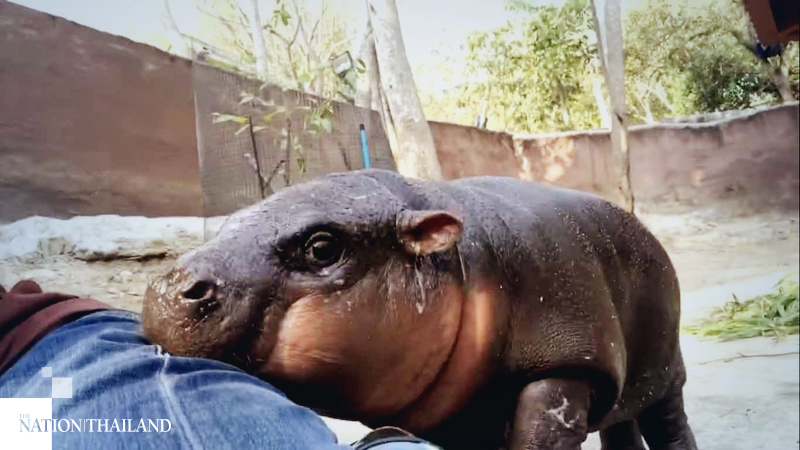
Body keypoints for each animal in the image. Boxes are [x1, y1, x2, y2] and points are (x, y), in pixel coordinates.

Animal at [142, 169, 697, 450]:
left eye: (322, 247)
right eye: (228, 222)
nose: (170, 285)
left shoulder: (564, 369)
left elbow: (540, 435)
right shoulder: (451, 414)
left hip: (667, 372)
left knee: (670, 428)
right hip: (625, 385)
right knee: (621, 428)